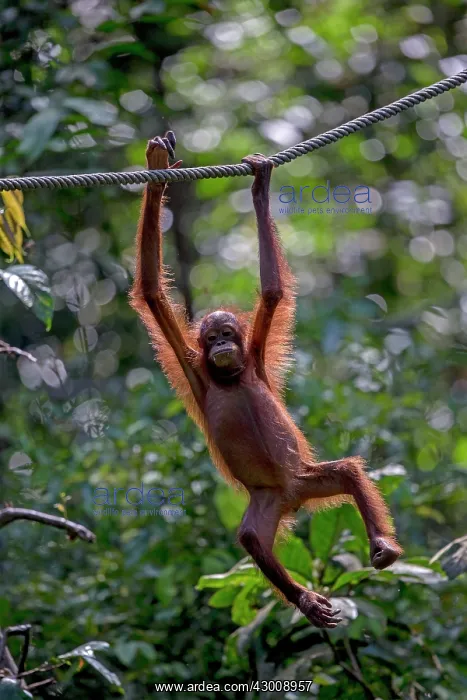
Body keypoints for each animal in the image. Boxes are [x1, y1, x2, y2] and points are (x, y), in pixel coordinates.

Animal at [130, 131, 403, 628]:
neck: (231, 378)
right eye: (211, 337)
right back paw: (306, 600)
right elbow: (152, 291)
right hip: (267, 499)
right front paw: (158, 176)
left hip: (306, 479)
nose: (221, 345)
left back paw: (382, 547)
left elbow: (272, 291)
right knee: (252, 539)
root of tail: (294, 499)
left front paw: (258, 186)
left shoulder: (254, 354)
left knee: (347, 472)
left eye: (228, 334)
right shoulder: (193, 366)